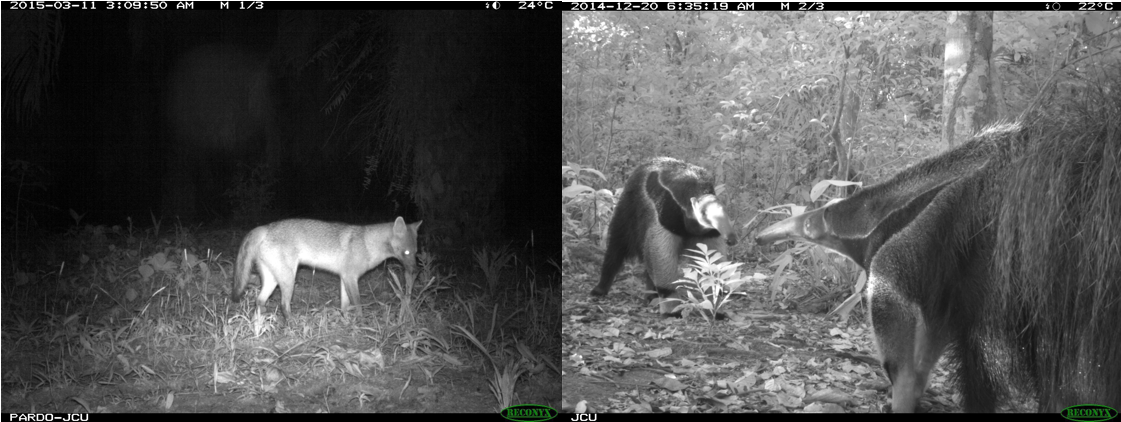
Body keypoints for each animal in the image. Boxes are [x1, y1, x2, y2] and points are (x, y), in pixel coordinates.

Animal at [229, 215, 421, 325]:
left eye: (415, 253)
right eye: (406, 252)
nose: (414, 271)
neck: (367, 244)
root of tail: (265, 227)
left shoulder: (344, 279)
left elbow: (344, 307)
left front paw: (346, 323)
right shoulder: (351, 278)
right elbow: (358, 305)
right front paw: (361, 324)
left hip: (273, 280)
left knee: (259, 301)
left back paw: (258, 326)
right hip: (289, 280)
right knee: (283, 305)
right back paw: (292, 325)